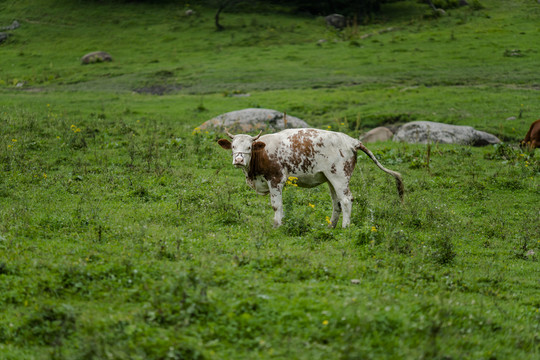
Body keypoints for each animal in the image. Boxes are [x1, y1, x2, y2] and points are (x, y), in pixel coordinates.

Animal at [217, 127, 402, 228]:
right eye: (233, 147)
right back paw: (330, 226)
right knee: (337, 203)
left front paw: (277, 225)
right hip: (330, 178)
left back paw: (345, 227)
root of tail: (351, 140)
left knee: (346, 200)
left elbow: (276, 205)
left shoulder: (276, 180)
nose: (239, 160)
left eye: (249, 147)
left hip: (339, 176)